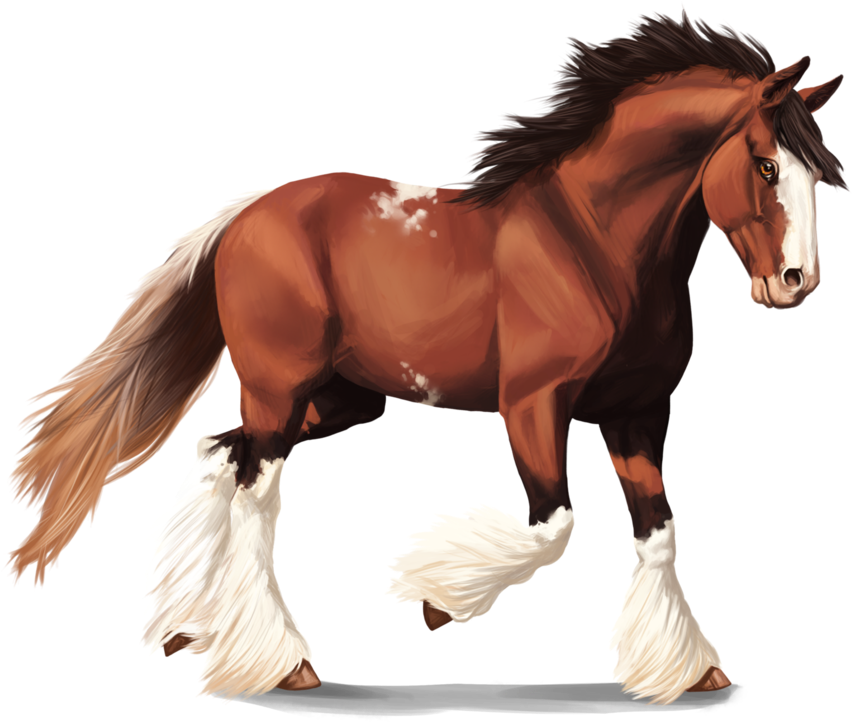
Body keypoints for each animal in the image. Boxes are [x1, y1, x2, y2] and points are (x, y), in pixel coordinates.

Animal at [5, 4, 846, 708]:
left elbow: (659, 531)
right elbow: (555, 527)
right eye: (767, 165)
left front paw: (689, 671)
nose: (796, 284)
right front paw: (436, 600)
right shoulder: (533, 405)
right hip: (280, 389)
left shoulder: (637, 414)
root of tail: (245, 214)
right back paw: (279, 664)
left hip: (340, 399)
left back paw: (186, 629)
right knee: (256, 493)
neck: (593, 243)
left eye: (818, 173)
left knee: (217, 448)